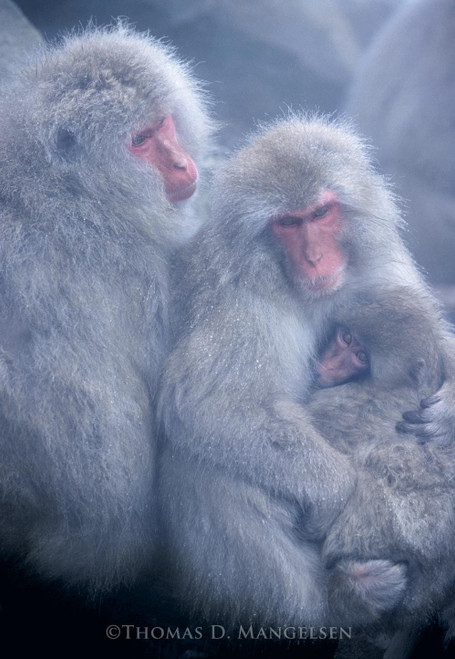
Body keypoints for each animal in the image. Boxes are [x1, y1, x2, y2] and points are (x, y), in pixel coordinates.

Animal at [157, 114, 455, 631]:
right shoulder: (244, 304)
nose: (315, 258)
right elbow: (207, 403)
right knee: (206, 459)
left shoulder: (377, 271)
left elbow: (431, 340)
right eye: (288, 223)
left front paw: (450, 409)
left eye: (320, 213)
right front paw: (336, 496)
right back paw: (339, 600)